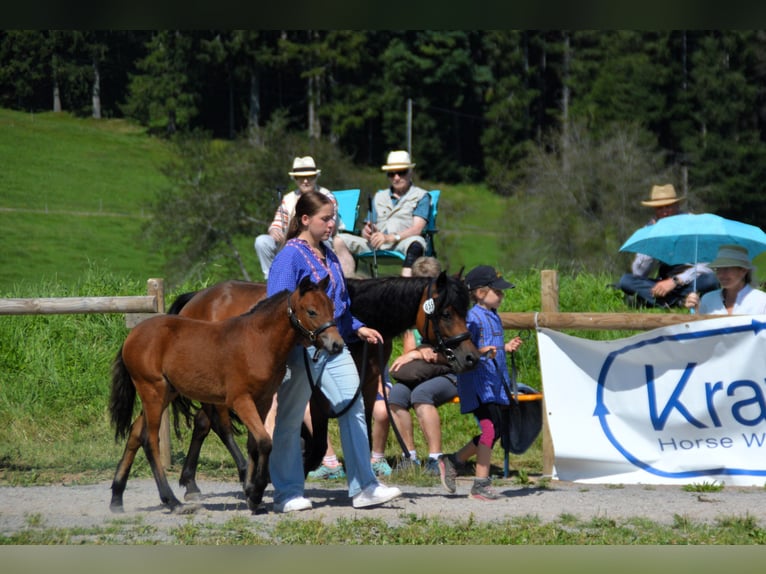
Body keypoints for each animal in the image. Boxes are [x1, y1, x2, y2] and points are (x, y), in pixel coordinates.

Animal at [109, 276, 344, 516]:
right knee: (150, 441)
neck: (257, 341)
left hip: (166, 393)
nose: (337, 344)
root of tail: (133, 334)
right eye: (312, 311)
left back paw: (117, 497)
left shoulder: (263, 400)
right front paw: (255, 492)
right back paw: (172, 500)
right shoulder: (240, 400)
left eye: (332, 307)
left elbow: (253, 444)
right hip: (153, 391)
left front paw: (251, 493)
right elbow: (264, 441)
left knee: (136, 432)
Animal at [168, 270, 480, 500]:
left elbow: (364, 435)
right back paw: (242, 471)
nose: (470, 357)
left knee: (203, 422)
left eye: (465, 311)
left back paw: (192, 482)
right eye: (446, 313)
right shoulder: (317, 395)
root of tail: (197, 298)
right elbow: (316, 443)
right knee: (217, 424)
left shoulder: (366, 386)